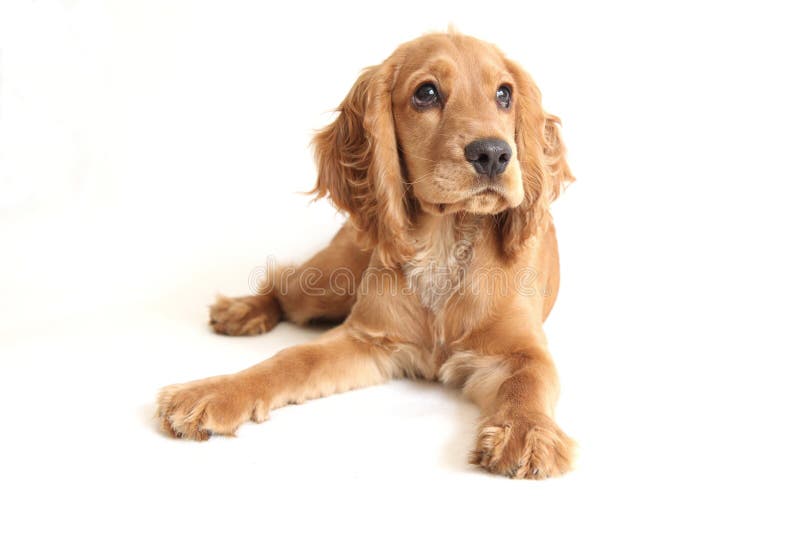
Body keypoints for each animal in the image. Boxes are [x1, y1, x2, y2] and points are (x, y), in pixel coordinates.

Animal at [159, 31, 576, 480]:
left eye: (504, 95)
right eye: (426, 93)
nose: (494, 155)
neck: (444, 243)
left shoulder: (523, 349)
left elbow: (527, 382)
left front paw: (526, 431)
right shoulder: (369, 338)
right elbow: (293, 359)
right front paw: (214, 392)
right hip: (325, 283)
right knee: (283, 286)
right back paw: (241, 311)